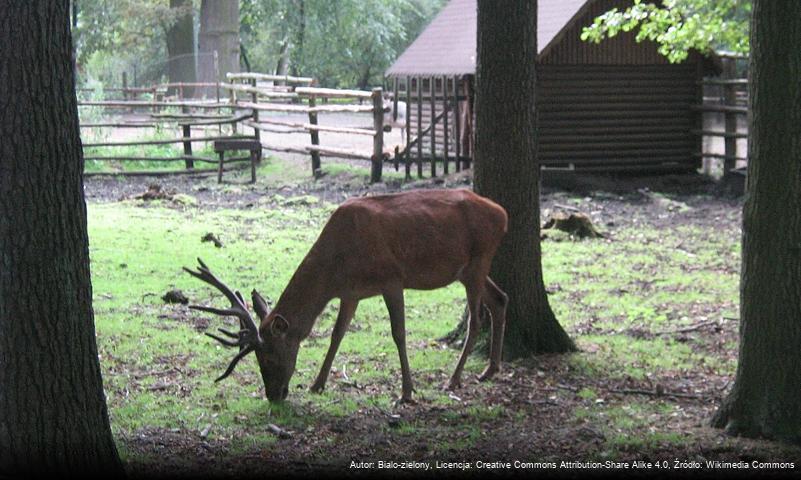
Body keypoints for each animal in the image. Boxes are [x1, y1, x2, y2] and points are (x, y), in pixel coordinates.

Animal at [184, 188, 504, 402]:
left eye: (271, 356)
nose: (274, 395)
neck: (338, 267)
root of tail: (503, 213)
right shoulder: (351, 293)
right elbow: (337, 334)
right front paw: (317, 384)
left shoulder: (392, 279)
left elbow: (398, 333)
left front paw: (406, 392)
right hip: (471, 269)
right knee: (501, 298)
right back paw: (489, 370)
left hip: (478, 260)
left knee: (476, 320)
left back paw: (454, 379)